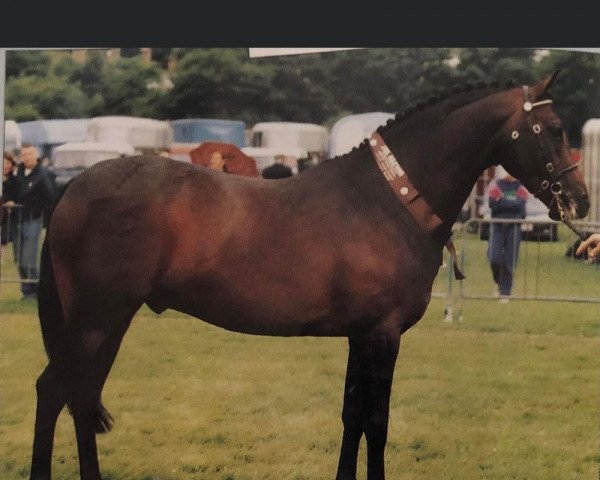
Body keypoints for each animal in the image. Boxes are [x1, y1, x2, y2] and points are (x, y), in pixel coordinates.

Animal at [30, 73, 588, 478]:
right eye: (553, 129)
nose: (580, 201)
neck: (390, 200)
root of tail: (73, 186)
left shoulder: (361, 336)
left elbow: (352, 417)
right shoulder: (383, 335)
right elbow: (376, 423)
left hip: (106, 321)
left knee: (80, 395)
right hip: (98, 318)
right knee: (56, 391)